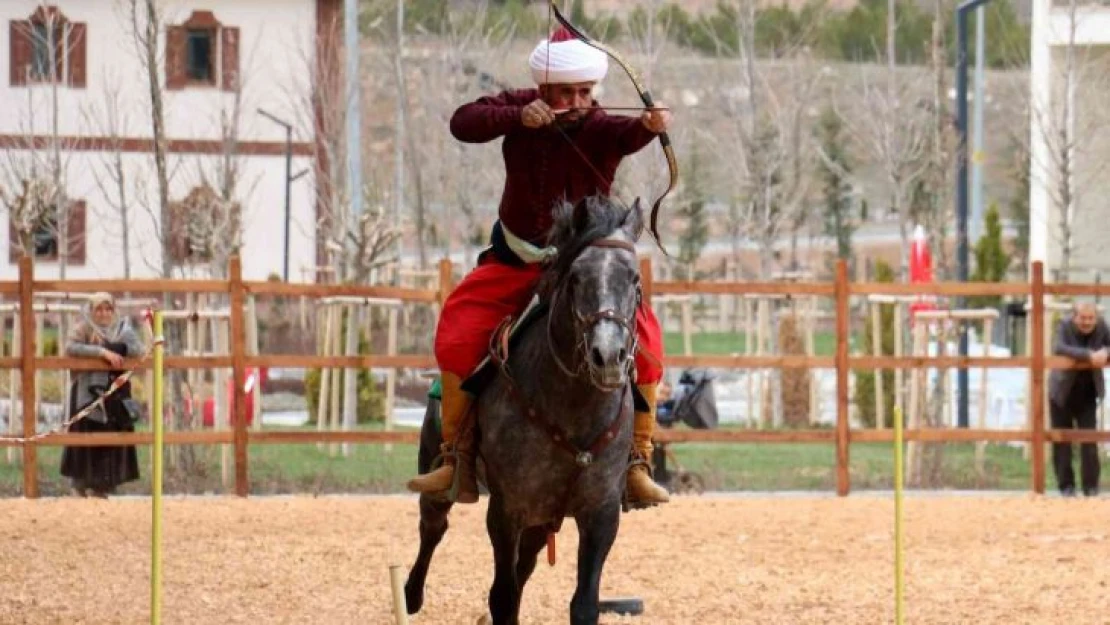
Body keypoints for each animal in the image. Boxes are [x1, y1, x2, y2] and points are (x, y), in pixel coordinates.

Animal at [406, 196, 648, 625]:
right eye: (576, 279)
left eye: (635, 281)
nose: (608, 356)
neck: (573, 407)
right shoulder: (507, 509)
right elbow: (502, 596)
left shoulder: (601, 512)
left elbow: (583, 603)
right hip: (439, 474)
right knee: (433, 525)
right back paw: (411, 594)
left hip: (543, 516)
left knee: (525, 563)